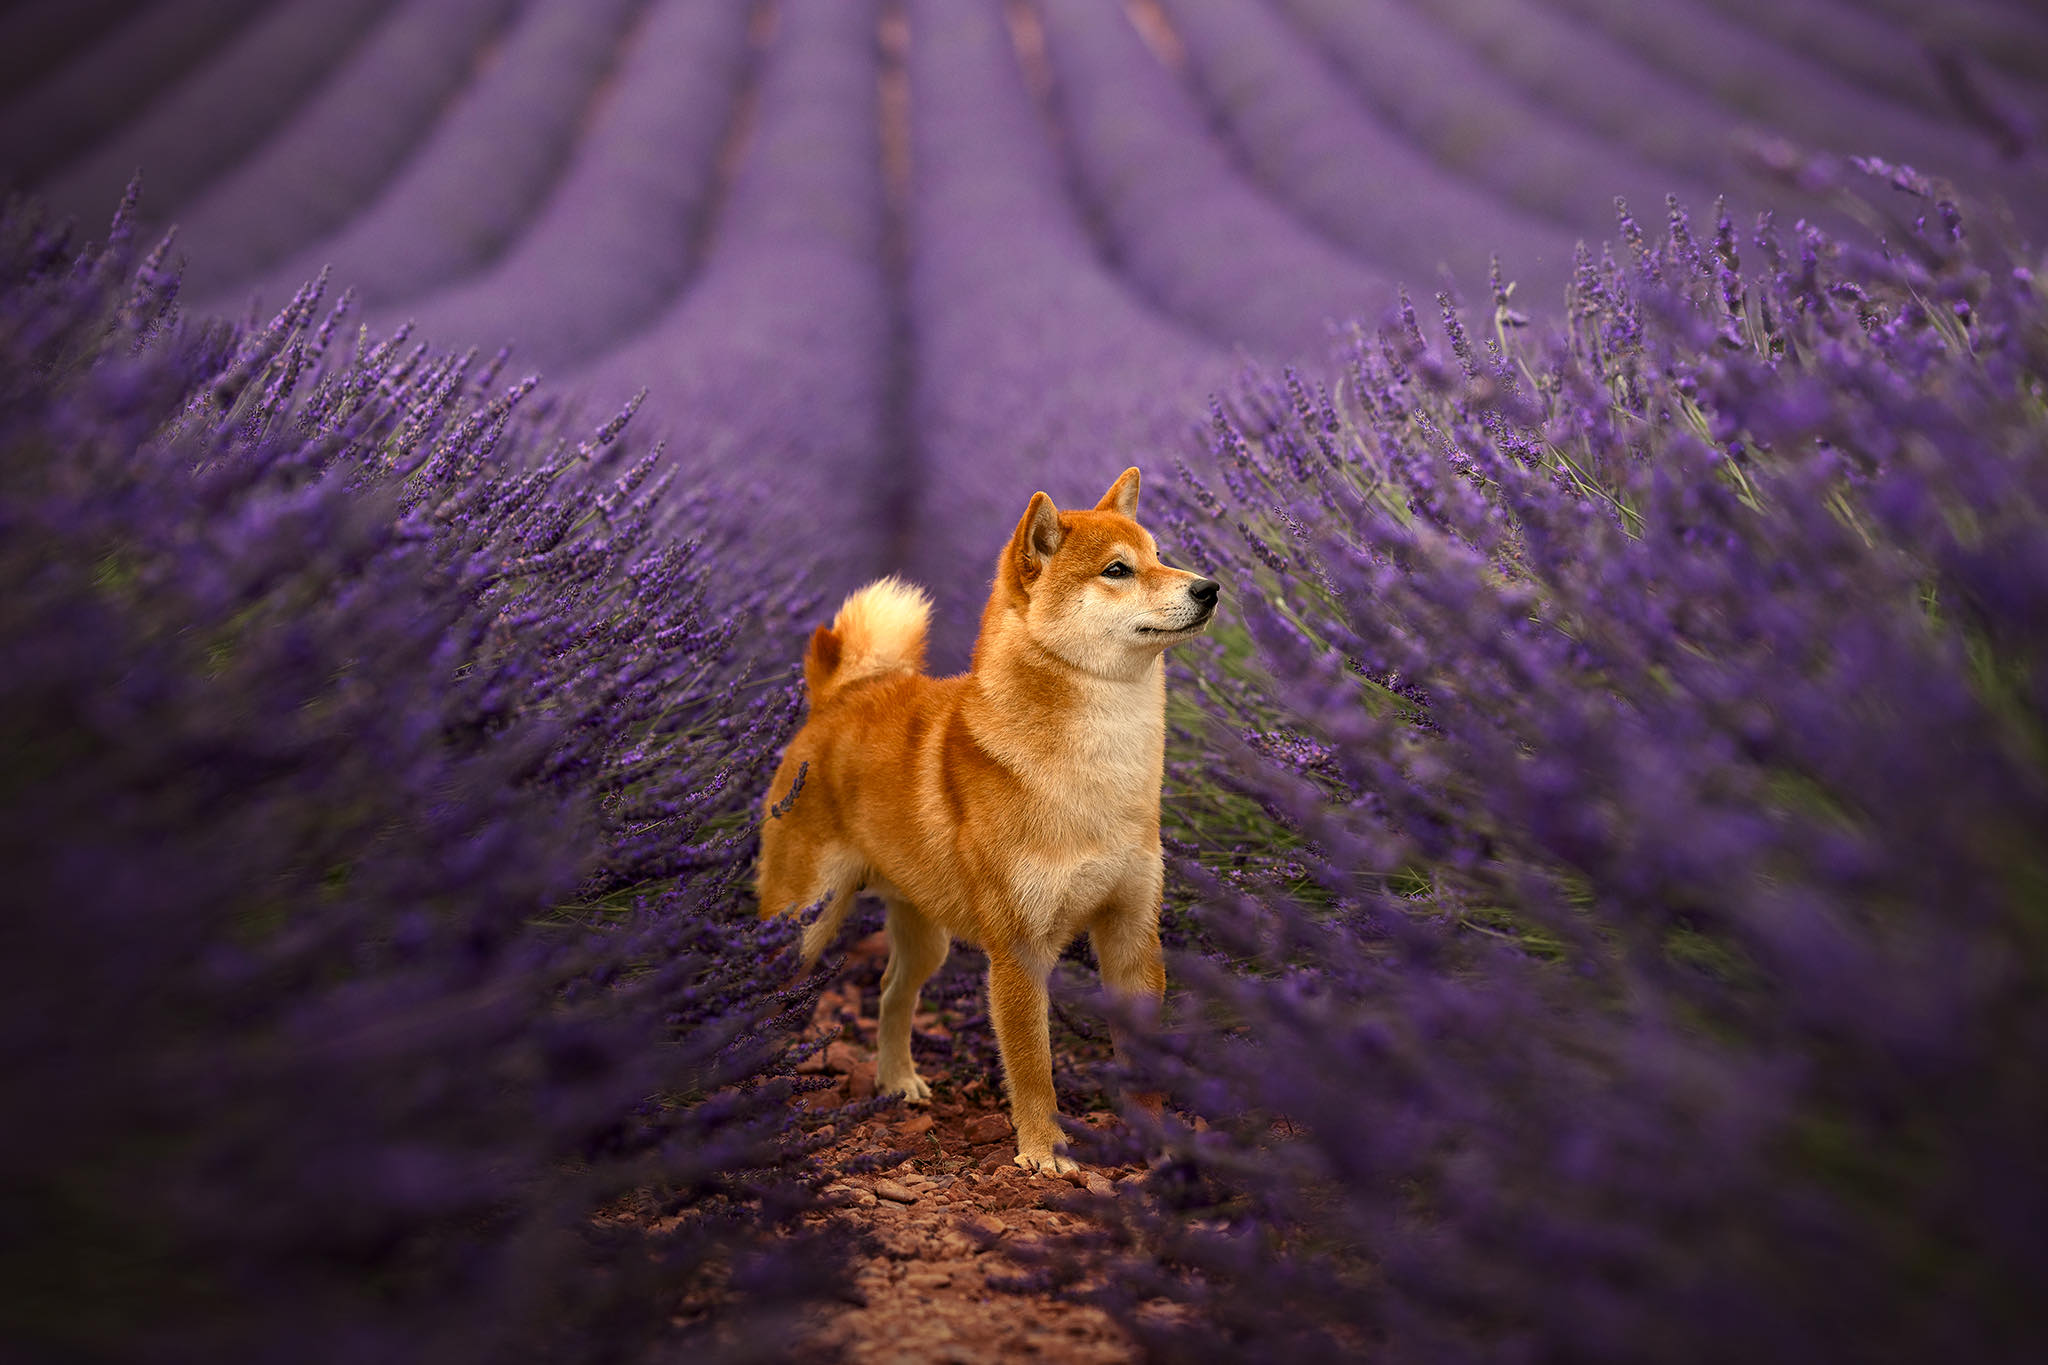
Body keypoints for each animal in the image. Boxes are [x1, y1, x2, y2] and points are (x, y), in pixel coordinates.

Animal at [765, 470, 1212, 1178]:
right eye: (1118, 569)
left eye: (1161, 556)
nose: (1209, 587)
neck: (1099, 776)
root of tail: (836, 699)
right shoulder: (1018, 951)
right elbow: (1032, 1067)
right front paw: (1043, 1152)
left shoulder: (1132, 935)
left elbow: (1143, 1064)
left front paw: (1159, 1143)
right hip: (804, 921)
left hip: (927, 936)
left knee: (891, 992)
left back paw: (897, 1081)